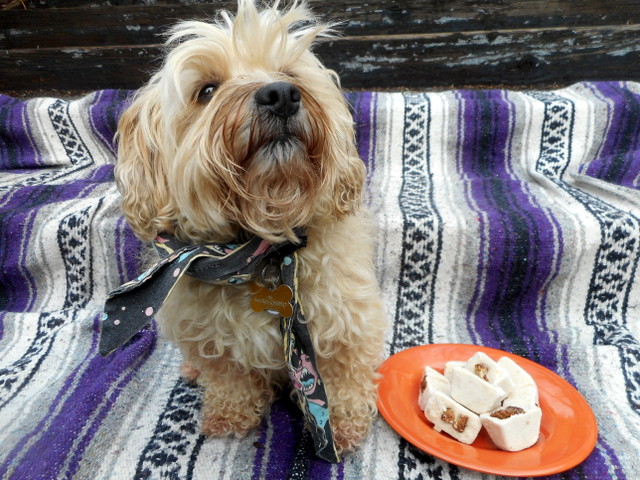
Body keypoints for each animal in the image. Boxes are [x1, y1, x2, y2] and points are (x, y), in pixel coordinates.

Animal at [114, 0, 384, 456]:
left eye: (290, 74)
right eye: (206, 90)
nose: (281, 94)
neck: (263, 250)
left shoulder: (345, 325)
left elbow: (343, 379)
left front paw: (344, 425)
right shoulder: (217, 344)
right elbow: (231, 379)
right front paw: (229, 416)